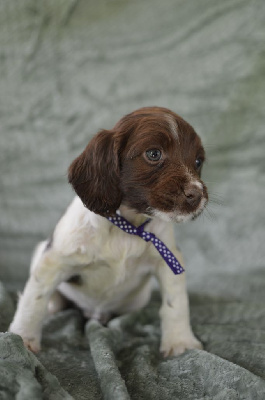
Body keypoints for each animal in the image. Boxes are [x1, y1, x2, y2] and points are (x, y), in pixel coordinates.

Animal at [9, 107, 208, 356]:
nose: (197, 195)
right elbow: (34, 299)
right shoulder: (54, 260)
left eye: (198, 161)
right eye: (154, 154)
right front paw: (22, 339)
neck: (126, 227)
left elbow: (176, 303)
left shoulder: (168, 258)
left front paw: (180, 342)